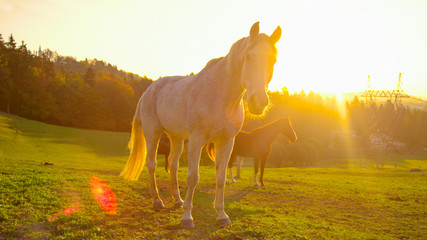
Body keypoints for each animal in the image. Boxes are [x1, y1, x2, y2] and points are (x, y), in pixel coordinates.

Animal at [120, 22, 282, 229]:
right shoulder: (197, 140)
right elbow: (193, 177)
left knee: (173, 164)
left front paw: (221, 215)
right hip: (152, 135)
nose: (258, 102)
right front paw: (187, 218)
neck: (220, 96)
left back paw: (177, 200)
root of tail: (150, 89)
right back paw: (157, 201)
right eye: (248, 56)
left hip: (176, 138)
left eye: (273, 60)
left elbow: (220, 178)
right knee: (152, 164)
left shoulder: (226, 142)